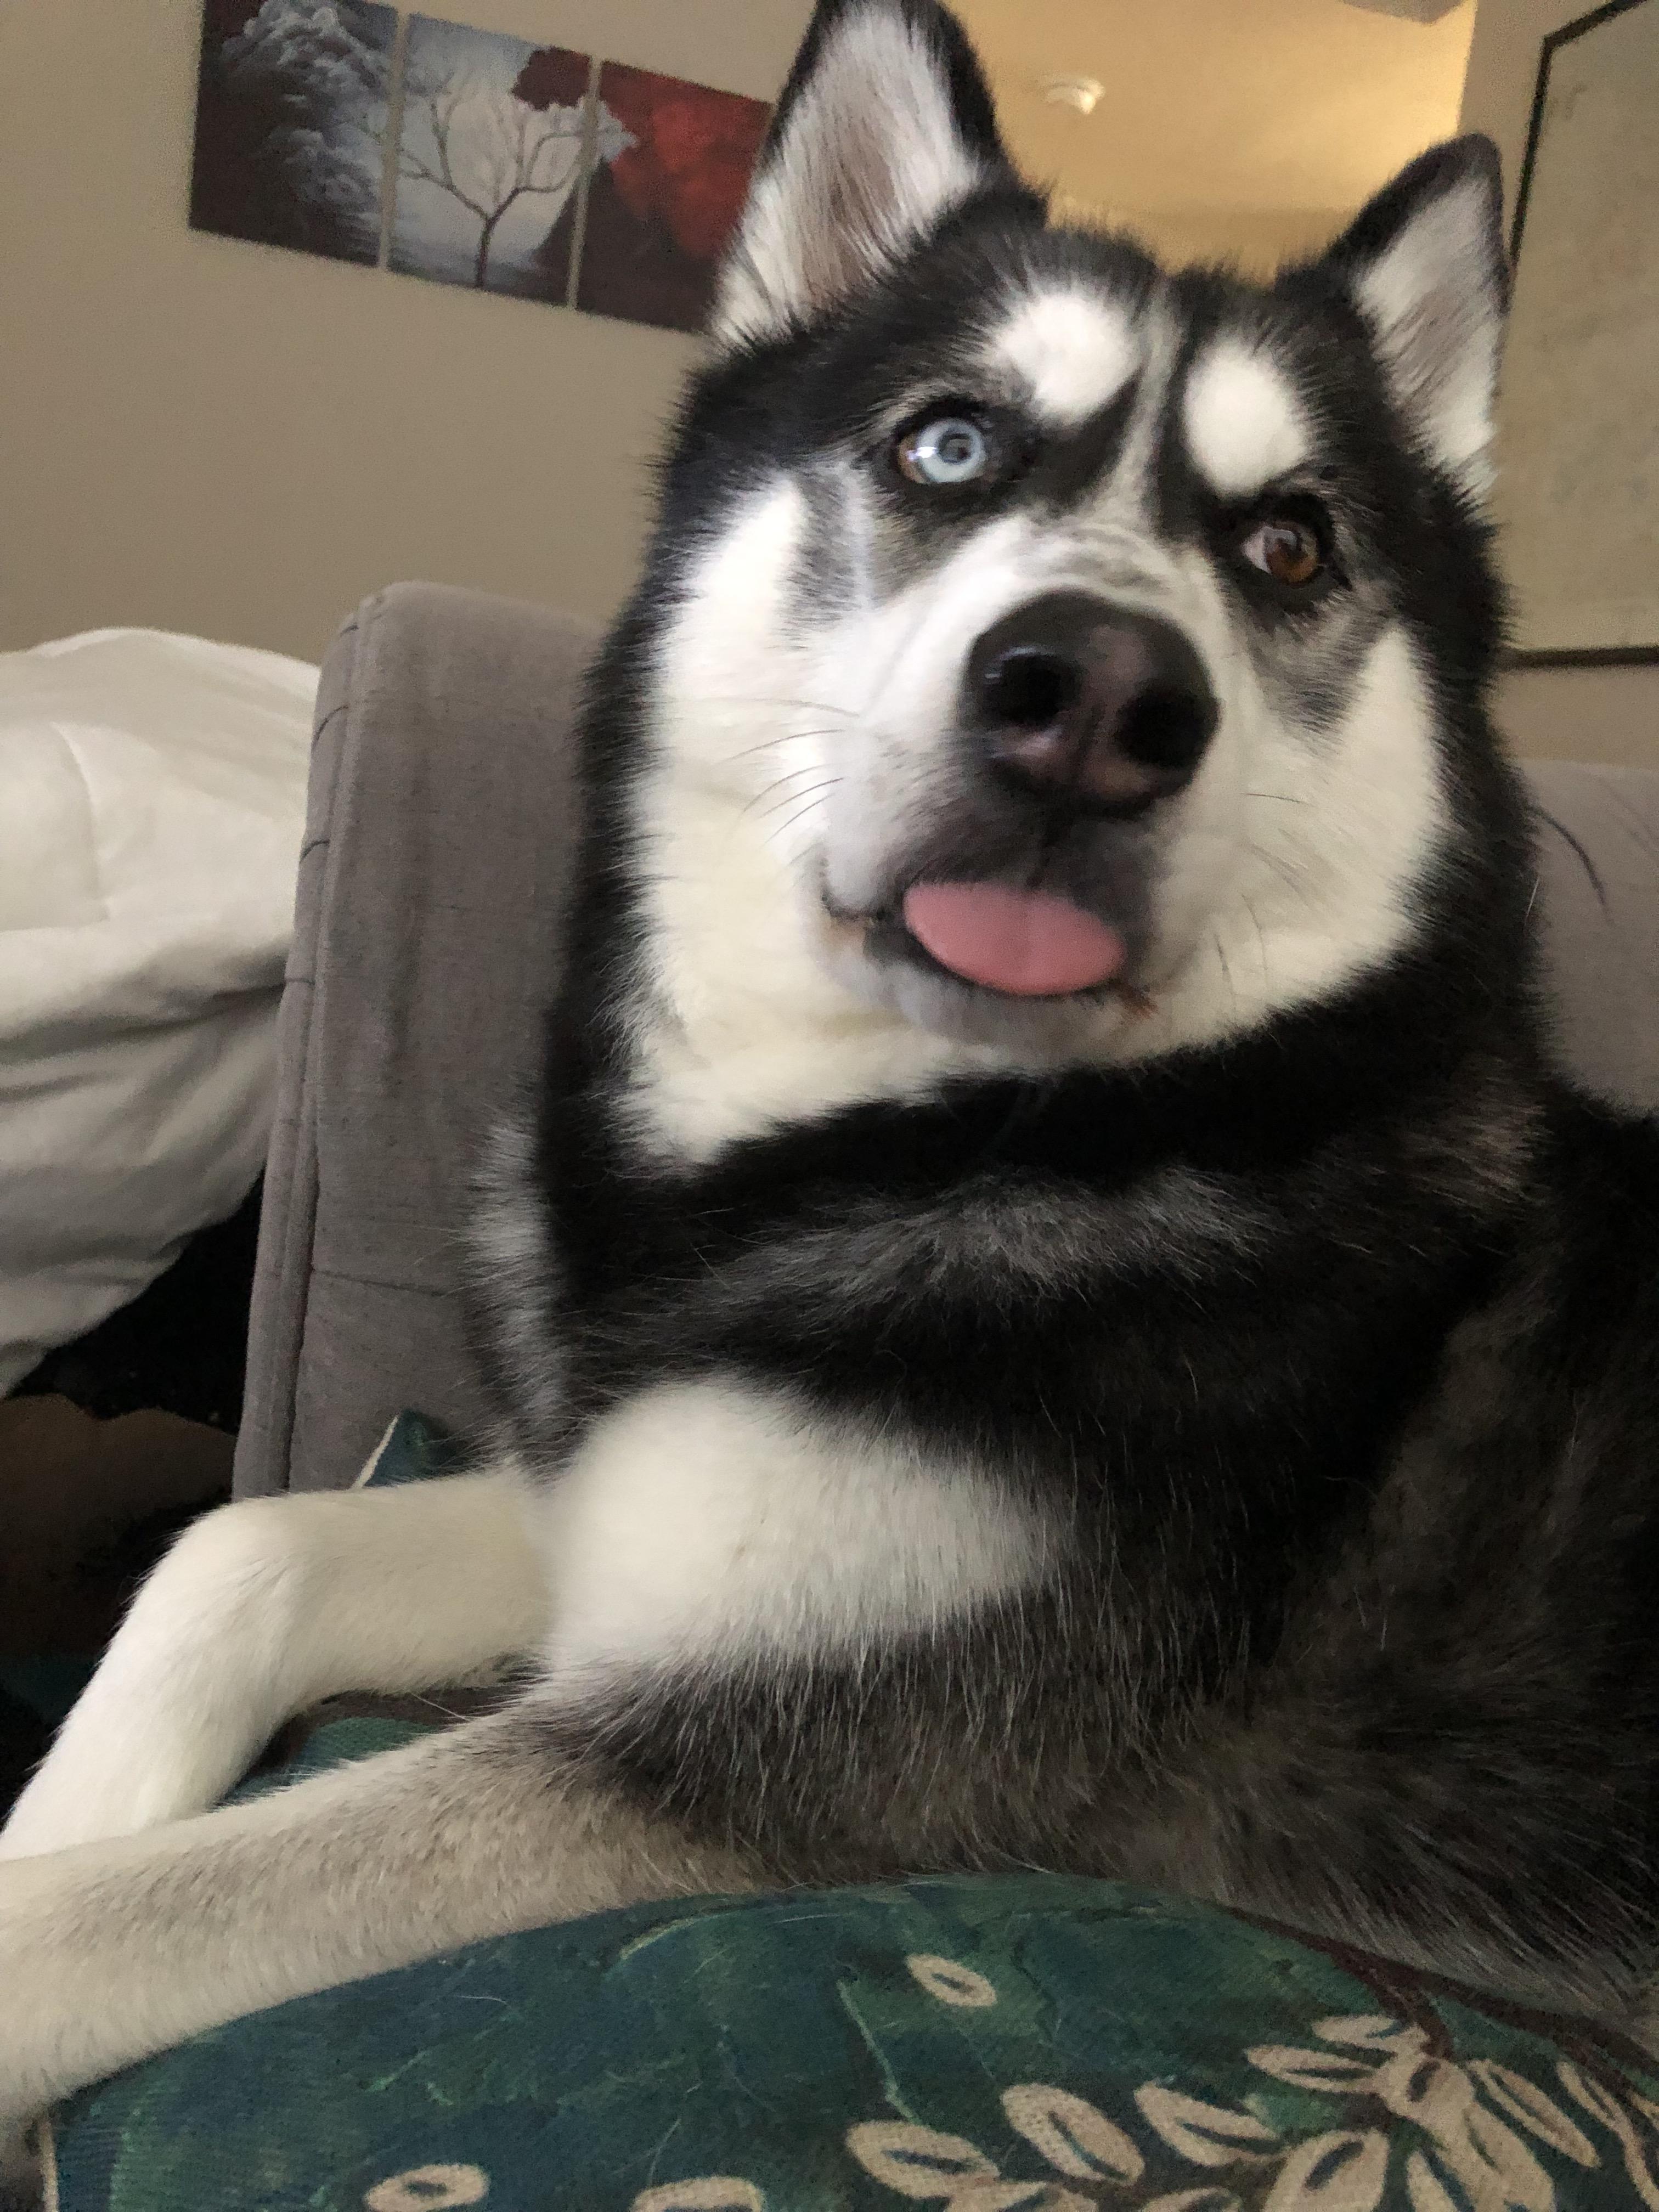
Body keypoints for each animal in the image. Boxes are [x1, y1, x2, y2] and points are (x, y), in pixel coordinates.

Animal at [3, 0, 1659, 2159]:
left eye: (1289, 543)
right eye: (947, 442)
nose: (1095, 697)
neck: (897, 1152)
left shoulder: (782, 1752)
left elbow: (120, 1920)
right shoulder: (628, 1527)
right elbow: (239, 1541)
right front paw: (65, 1806)